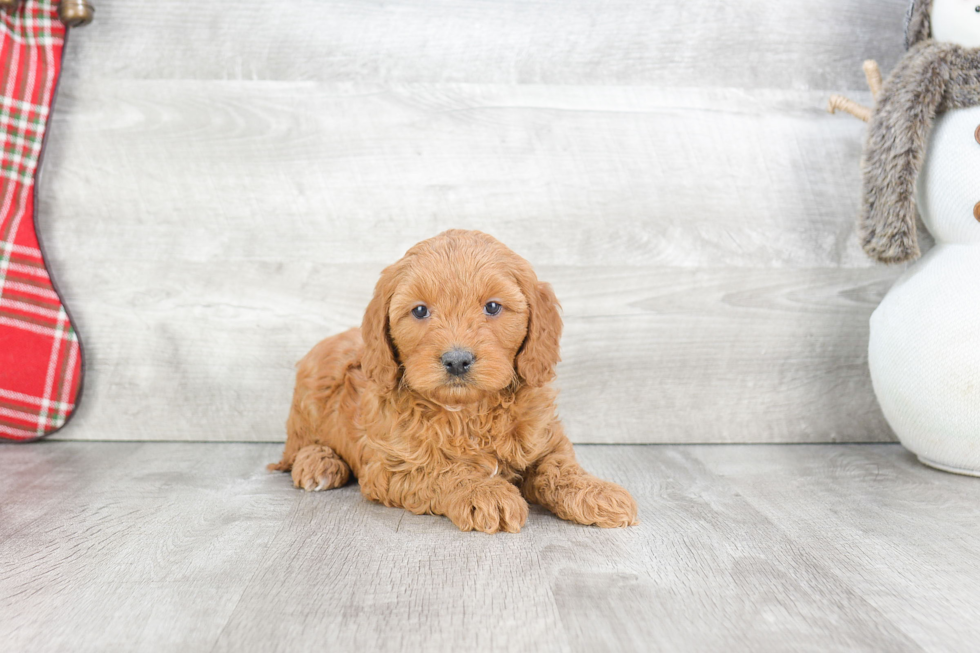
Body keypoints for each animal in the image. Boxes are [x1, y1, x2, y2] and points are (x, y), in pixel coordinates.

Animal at [270, 232, 636, 532]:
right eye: (420, 311)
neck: (468, 412)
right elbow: (443, 470)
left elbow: (560, 466)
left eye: (492, 307)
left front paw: (598, 492)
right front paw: (486, 492)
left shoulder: (545, 438)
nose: (457, 360)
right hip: (308, 403)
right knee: (297, 449)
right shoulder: (392, 466)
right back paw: (318, 463)